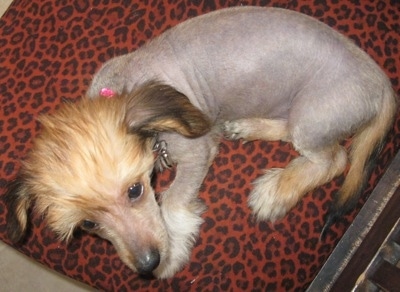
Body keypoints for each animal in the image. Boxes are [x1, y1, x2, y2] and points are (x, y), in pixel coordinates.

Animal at [3, 5, 396, 278]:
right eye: (87, 226)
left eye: (135, 190)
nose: (147, 265)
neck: (126, 92)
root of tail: (382, 84)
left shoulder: (197, 152)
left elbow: (174, 200)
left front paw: (173, 251)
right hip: (296, 112)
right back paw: (247, 127)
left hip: (311, 118)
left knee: (334, 160)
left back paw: (276, 191)